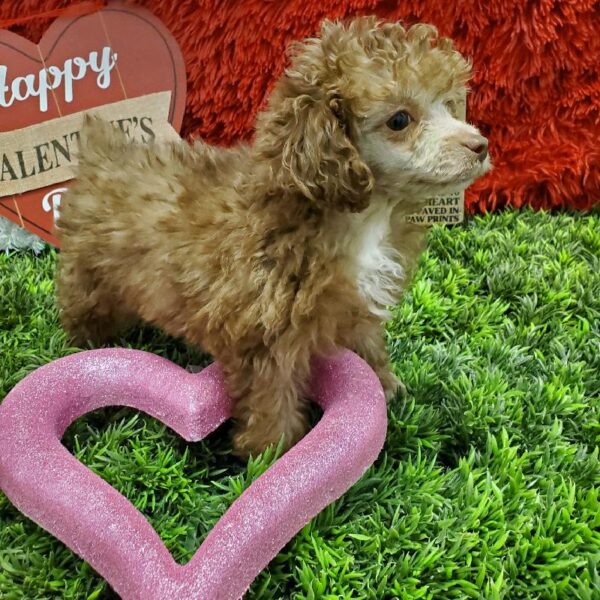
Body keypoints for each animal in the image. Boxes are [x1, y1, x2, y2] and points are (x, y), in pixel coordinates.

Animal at [55, 17, 492, 454]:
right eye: (400, 120)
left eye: (448, 105)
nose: (481, 145)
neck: (361, 217)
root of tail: (102, 157)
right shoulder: (264, 336)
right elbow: (273, 400)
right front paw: (272, 452)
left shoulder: (359, 304)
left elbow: (369, 346)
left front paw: (387, 386)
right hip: (91, 278)